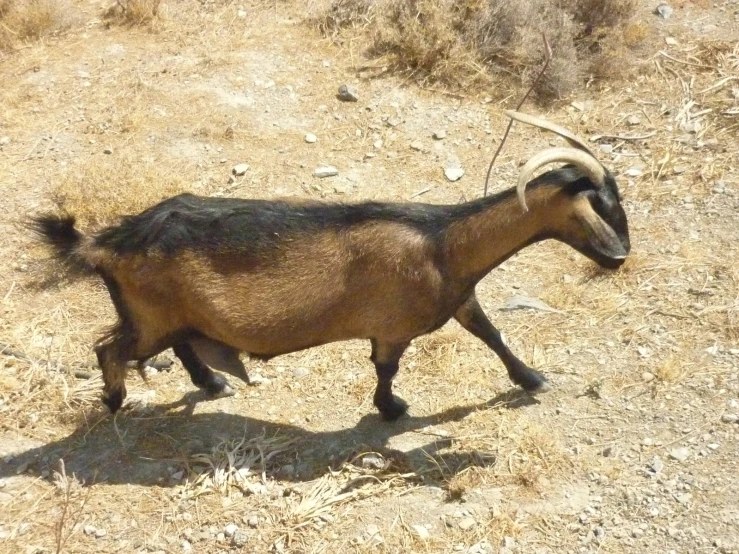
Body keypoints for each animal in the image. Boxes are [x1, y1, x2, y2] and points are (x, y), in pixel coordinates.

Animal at [27, 111, 632, 418]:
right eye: (601, 204)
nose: (620, 256)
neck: (442, 242)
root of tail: (105, 243)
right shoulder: (393, 326)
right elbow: (387, 368)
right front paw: (392, 409)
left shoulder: (460, 297)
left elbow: (491, 333)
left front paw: (530, 379)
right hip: (147, 318)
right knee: (110, 349)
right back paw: (115, 401)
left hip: (169, 315)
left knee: (177, 344)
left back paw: (213, 383)